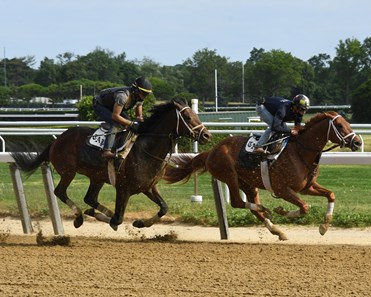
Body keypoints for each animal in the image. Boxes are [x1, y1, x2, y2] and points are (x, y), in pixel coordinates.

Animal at [11, 98, 212, 230]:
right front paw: (103, 217)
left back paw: (91, 211)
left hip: (97, 177)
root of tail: (57, 140)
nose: (207, 135)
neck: (147, 149)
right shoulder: (123, 188)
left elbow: (164, 207)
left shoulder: (148, 187)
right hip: (69, 172)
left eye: (196, 114)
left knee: (90, 198)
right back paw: (79, 217)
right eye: (188, 117)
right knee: (60, 192)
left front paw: (141, 222)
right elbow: (118, 219)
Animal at [164, 112, 362, 239]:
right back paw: (267, 211)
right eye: (339, 125)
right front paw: (280, 210)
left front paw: (324, 226)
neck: (300, 152)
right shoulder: (282, 189)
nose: (358, 142)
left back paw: (277, 230)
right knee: (238, 202)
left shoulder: (307, 187)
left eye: (347, 123)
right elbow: (305, 207)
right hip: (230, 176)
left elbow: (331, 195)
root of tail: (211, 151)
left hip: (248, 183)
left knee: (251, 207)